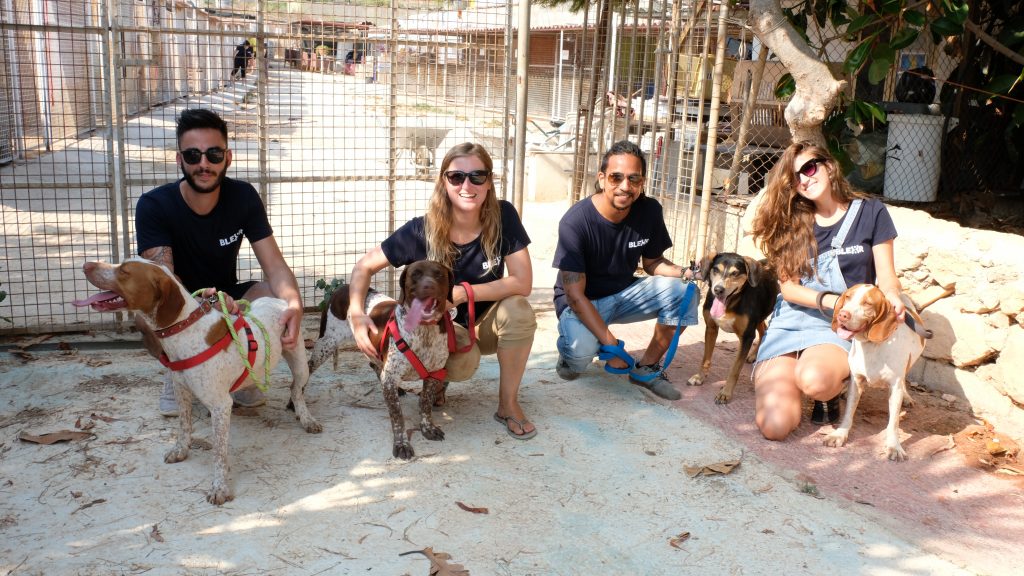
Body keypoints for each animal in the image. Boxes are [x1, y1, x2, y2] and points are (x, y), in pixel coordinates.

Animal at [73, 256, 319, 502]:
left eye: (124, 271)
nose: (86, 265)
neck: (185, 331)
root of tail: (277, 300)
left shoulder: (221, 406)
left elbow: (219, 452)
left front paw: (219, 487)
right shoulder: (182, 391)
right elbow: (184, 426)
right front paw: (180, 451)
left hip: (299, 361)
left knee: (297, 389)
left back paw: (306, 418)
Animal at [309, 259, 477, 457]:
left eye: (439, 274)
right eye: (416, 274)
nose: (428, 286)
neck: (424, 330)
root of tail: (341, 287)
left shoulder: (433, 374)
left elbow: (425, 404)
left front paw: (427, 428)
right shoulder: (390, 377)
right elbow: (397, 416)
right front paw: (401, 443)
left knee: (375, 366)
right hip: (325, 345)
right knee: (304, 372)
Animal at [684, 251, 778, 403]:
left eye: (735, 273)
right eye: (716, 270)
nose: (718, 290)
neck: (730, 303)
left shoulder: (747, 336)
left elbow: (735, 369)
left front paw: (726, 393)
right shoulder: (711, 328)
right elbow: (706, 358)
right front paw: (699, 377)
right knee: (763, 329)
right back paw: (753, 355)